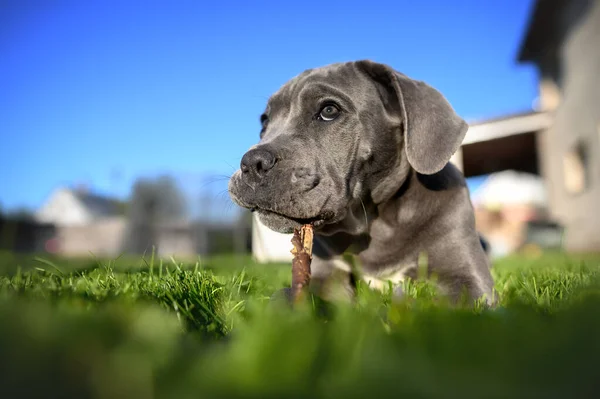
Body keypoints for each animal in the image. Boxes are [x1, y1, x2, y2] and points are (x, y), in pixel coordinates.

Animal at [227, 59, 494, 304]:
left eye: (329, 111)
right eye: (264, 121)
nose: (251, 163)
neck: (374, 223)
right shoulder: (325, 274)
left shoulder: (467, 277)